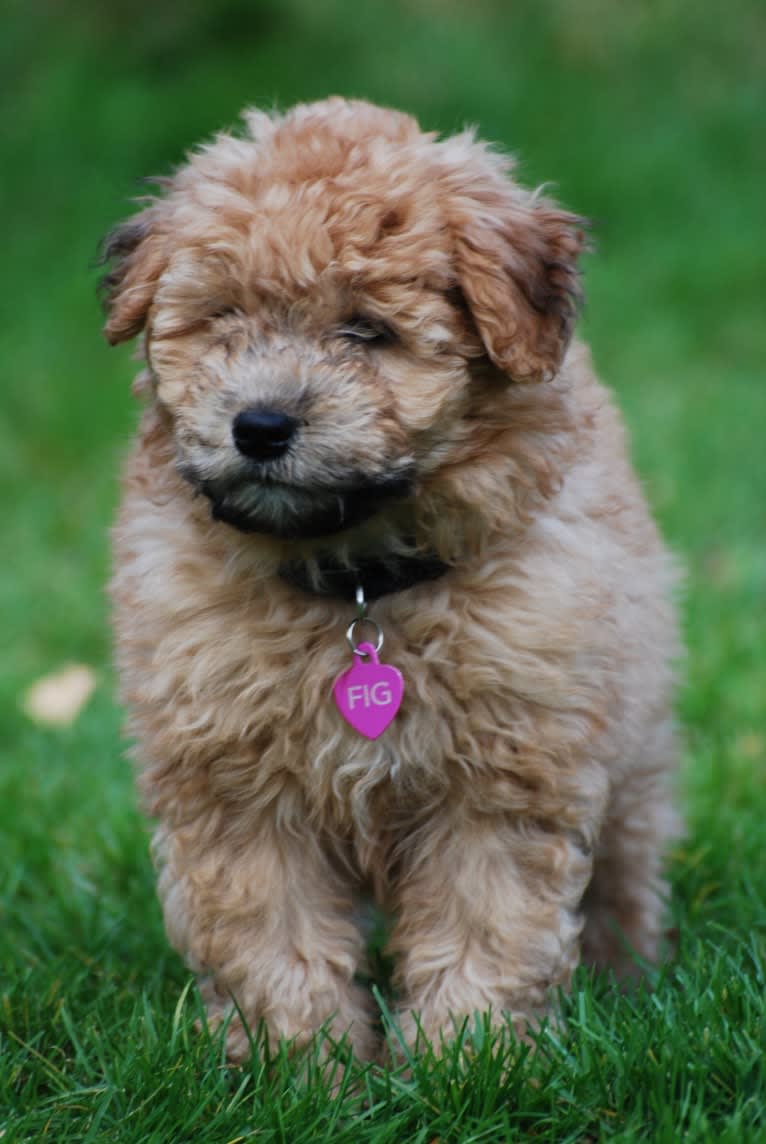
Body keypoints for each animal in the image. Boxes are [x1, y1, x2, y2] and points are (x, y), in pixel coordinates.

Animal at [103, 98, 685, 1061]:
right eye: (223, 317)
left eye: (367, 331)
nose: (260, 425)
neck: (358, 586)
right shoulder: (231, 786)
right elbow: (270, 939)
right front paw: (304, 1067)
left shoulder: (503, 778)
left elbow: (486, 925)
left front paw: (466, 1061)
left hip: (630, 740)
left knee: (626, 867)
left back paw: (627, 978)